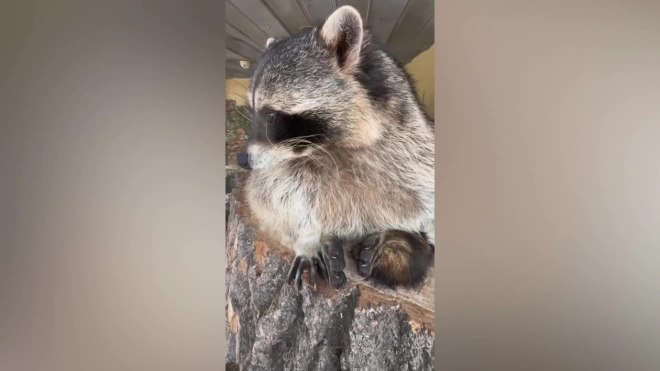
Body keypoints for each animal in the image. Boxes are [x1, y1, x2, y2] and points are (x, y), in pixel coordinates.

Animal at [235, 5, 436, 290]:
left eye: (271, 116)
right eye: (251, 111)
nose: (241, 159)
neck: (333, 147)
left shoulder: (414, 145)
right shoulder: (279, 166)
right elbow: (273, 195)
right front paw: (308, 238)